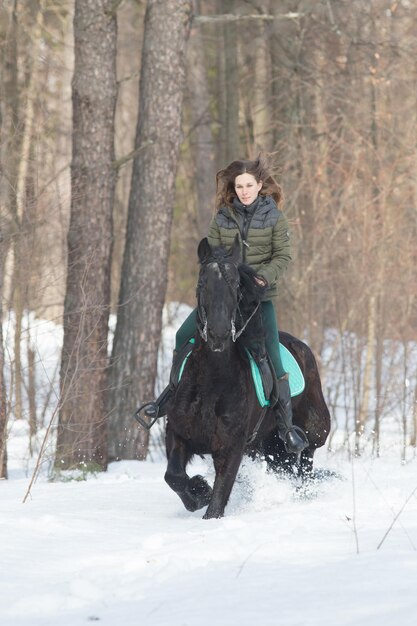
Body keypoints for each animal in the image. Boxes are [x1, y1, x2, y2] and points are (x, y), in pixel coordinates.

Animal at [164, 235, 330, 516]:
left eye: (235, 285)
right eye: (202, 283)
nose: (219, 334)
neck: (212, 381)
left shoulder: (231, 447)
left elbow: (217, 503)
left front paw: (205, 497)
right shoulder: (177, 432)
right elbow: (174, 477)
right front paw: (199, 492)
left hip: (314, 431)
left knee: (306, 462)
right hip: (266, 444)